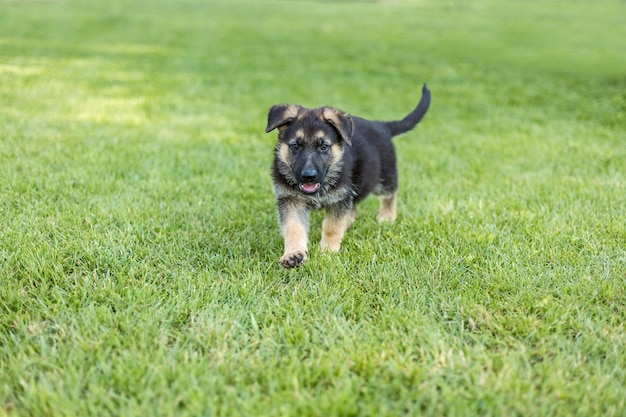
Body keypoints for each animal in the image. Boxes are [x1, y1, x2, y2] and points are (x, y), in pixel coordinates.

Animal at [264, 83, 428, 268]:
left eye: (324, 147)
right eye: (295, 146)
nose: (309, 176)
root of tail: (381, 126)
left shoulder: (339, 198)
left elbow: (331, 226)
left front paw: (328, 251)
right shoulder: (291, 200)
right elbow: (294, 228)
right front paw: (293, 254)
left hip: (381, 178)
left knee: (391, 193)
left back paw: (386, 217)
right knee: (354, 207)